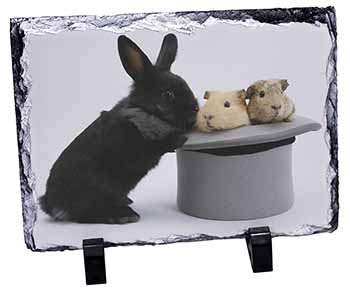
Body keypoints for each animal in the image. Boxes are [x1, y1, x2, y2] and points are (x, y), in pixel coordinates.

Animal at [39, 33, 198, 223]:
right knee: (86, 214)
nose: (195, 109)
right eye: (168, 94)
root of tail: (51, 204)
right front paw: (178, 138)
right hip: (97, 191)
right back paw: (125, 215)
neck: (145, 111)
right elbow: (157, 146)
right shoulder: (133, 149)